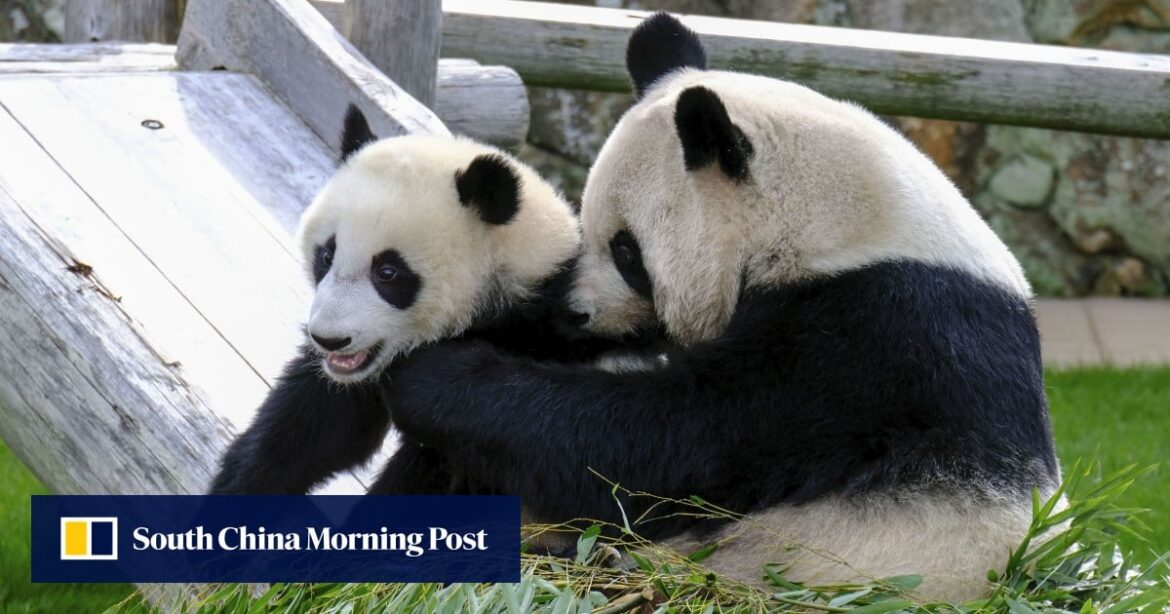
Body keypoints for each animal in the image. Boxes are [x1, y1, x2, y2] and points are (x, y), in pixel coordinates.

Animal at [377, 13, 1060, 602]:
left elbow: (670, 443)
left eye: (628, 251)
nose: (575, 313)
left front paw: (433, 376)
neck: (833, 223)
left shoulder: (875, 340)